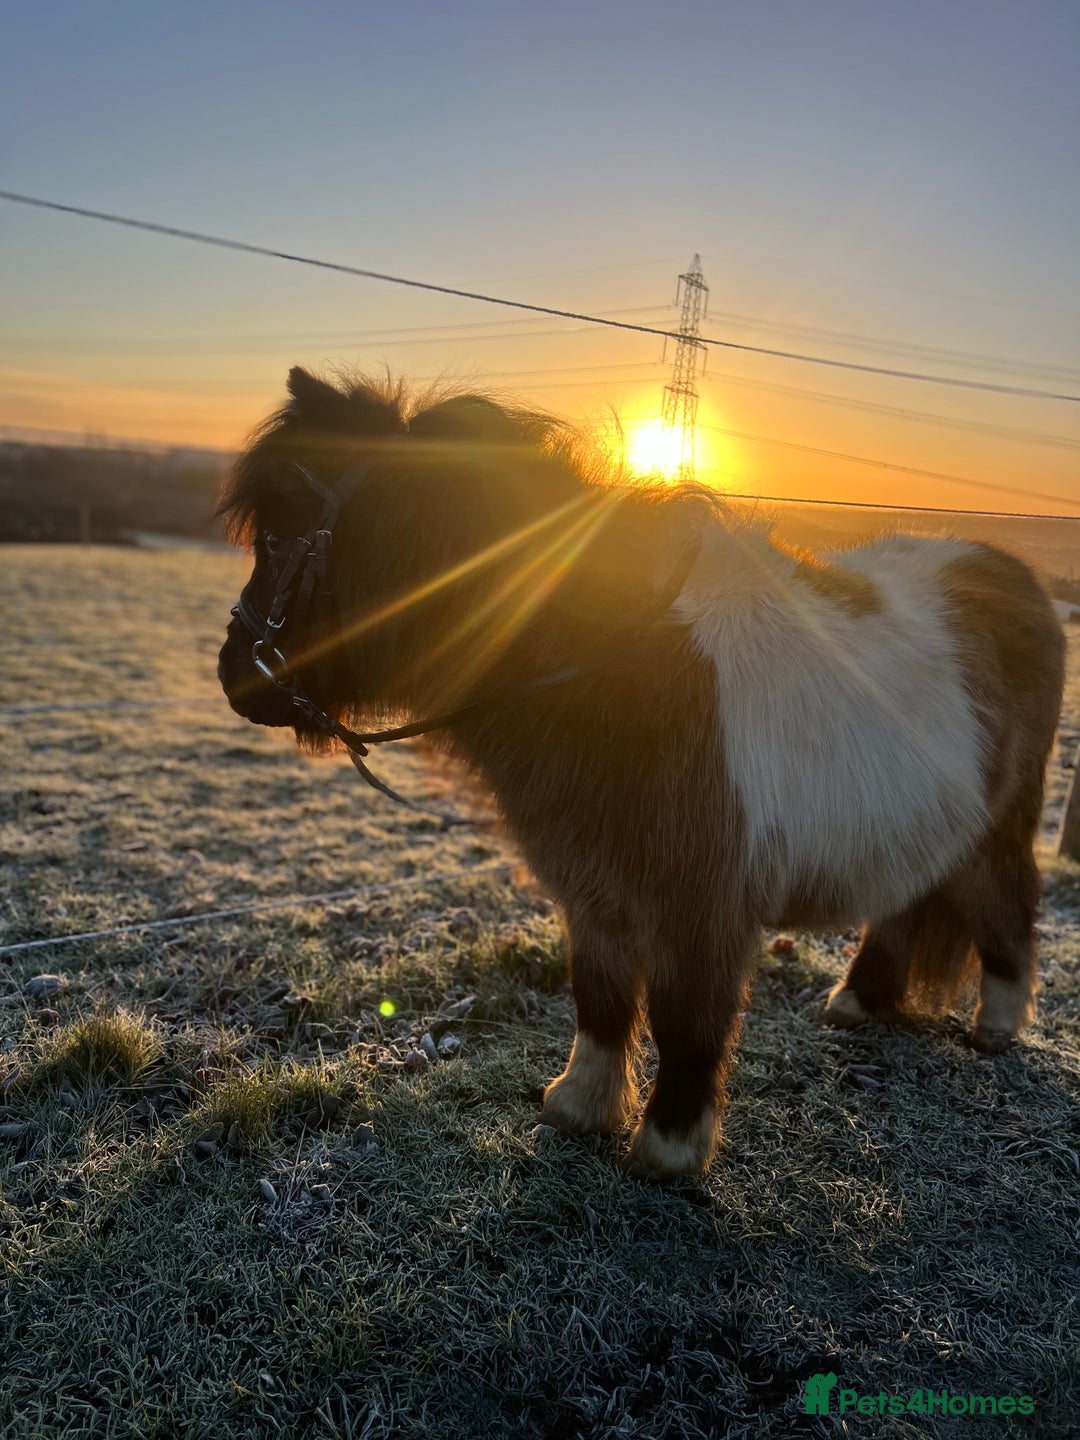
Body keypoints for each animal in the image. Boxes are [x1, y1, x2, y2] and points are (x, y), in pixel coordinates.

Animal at [217, 366, 1065, 1178]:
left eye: (283, 536)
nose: (232, 675)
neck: (619, 664)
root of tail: (1017, 579)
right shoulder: (594, 888)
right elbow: (600, 1000)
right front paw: (579, 1106)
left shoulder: (701, 907)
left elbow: (685, 1021)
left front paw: (668, 1149)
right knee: (908, 897)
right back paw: (859, 1001)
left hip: (1001, 822)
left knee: (1007, 897)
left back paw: (997, 1024)